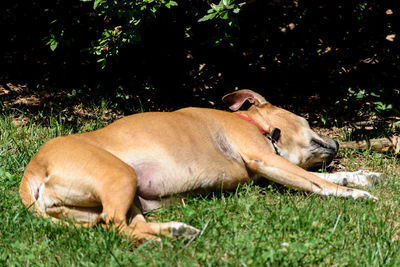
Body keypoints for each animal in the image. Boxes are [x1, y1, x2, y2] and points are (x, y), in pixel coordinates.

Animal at [18, 89, 376, 243]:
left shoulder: (272, 170)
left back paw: (175, 232)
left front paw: (361, 176)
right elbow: (320, 182)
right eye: (306, 119)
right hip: (120, 175)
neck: (255, 125)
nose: (338, 143)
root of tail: (33, 170)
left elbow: (325, 175)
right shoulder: (265, 158)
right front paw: (355, 194)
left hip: (127, 197)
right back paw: (163, 239)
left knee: (124, 224)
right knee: (115, 226)